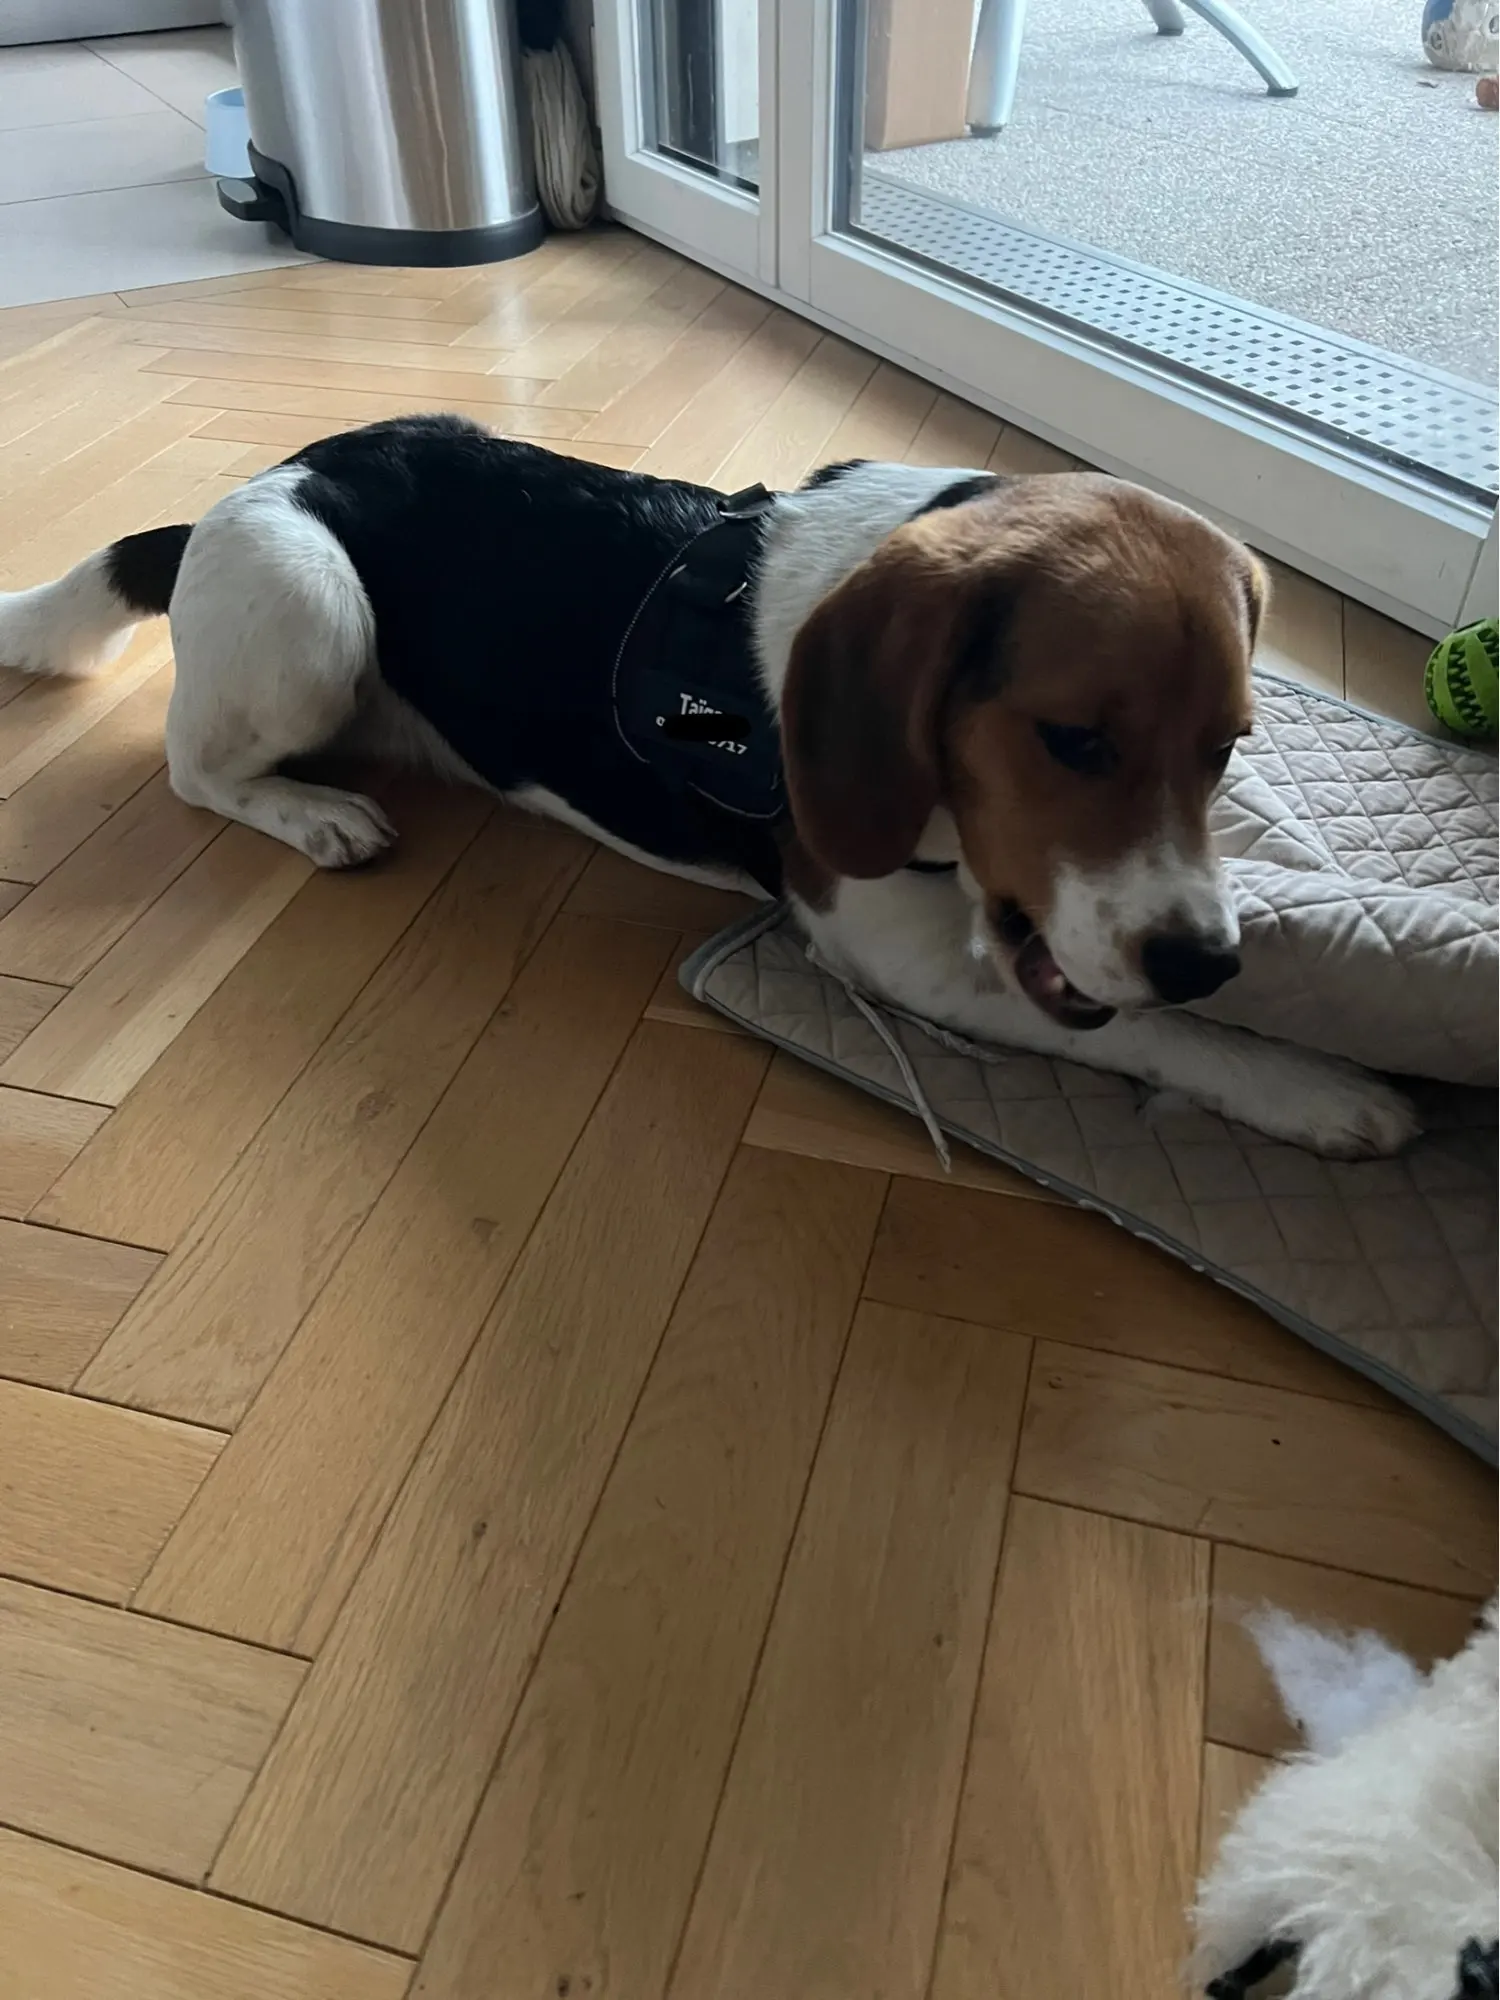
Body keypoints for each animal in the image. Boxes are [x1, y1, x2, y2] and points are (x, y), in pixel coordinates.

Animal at [0, 417, 1417, 1159]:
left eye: (1228, 745)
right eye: (1071, 740)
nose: (1206, 960)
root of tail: (256, 484)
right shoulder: (908, 958)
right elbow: (1148, 1031)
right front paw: (1311, 1088)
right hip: (312, 607)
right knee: (195, 768)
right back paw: (313, 813)